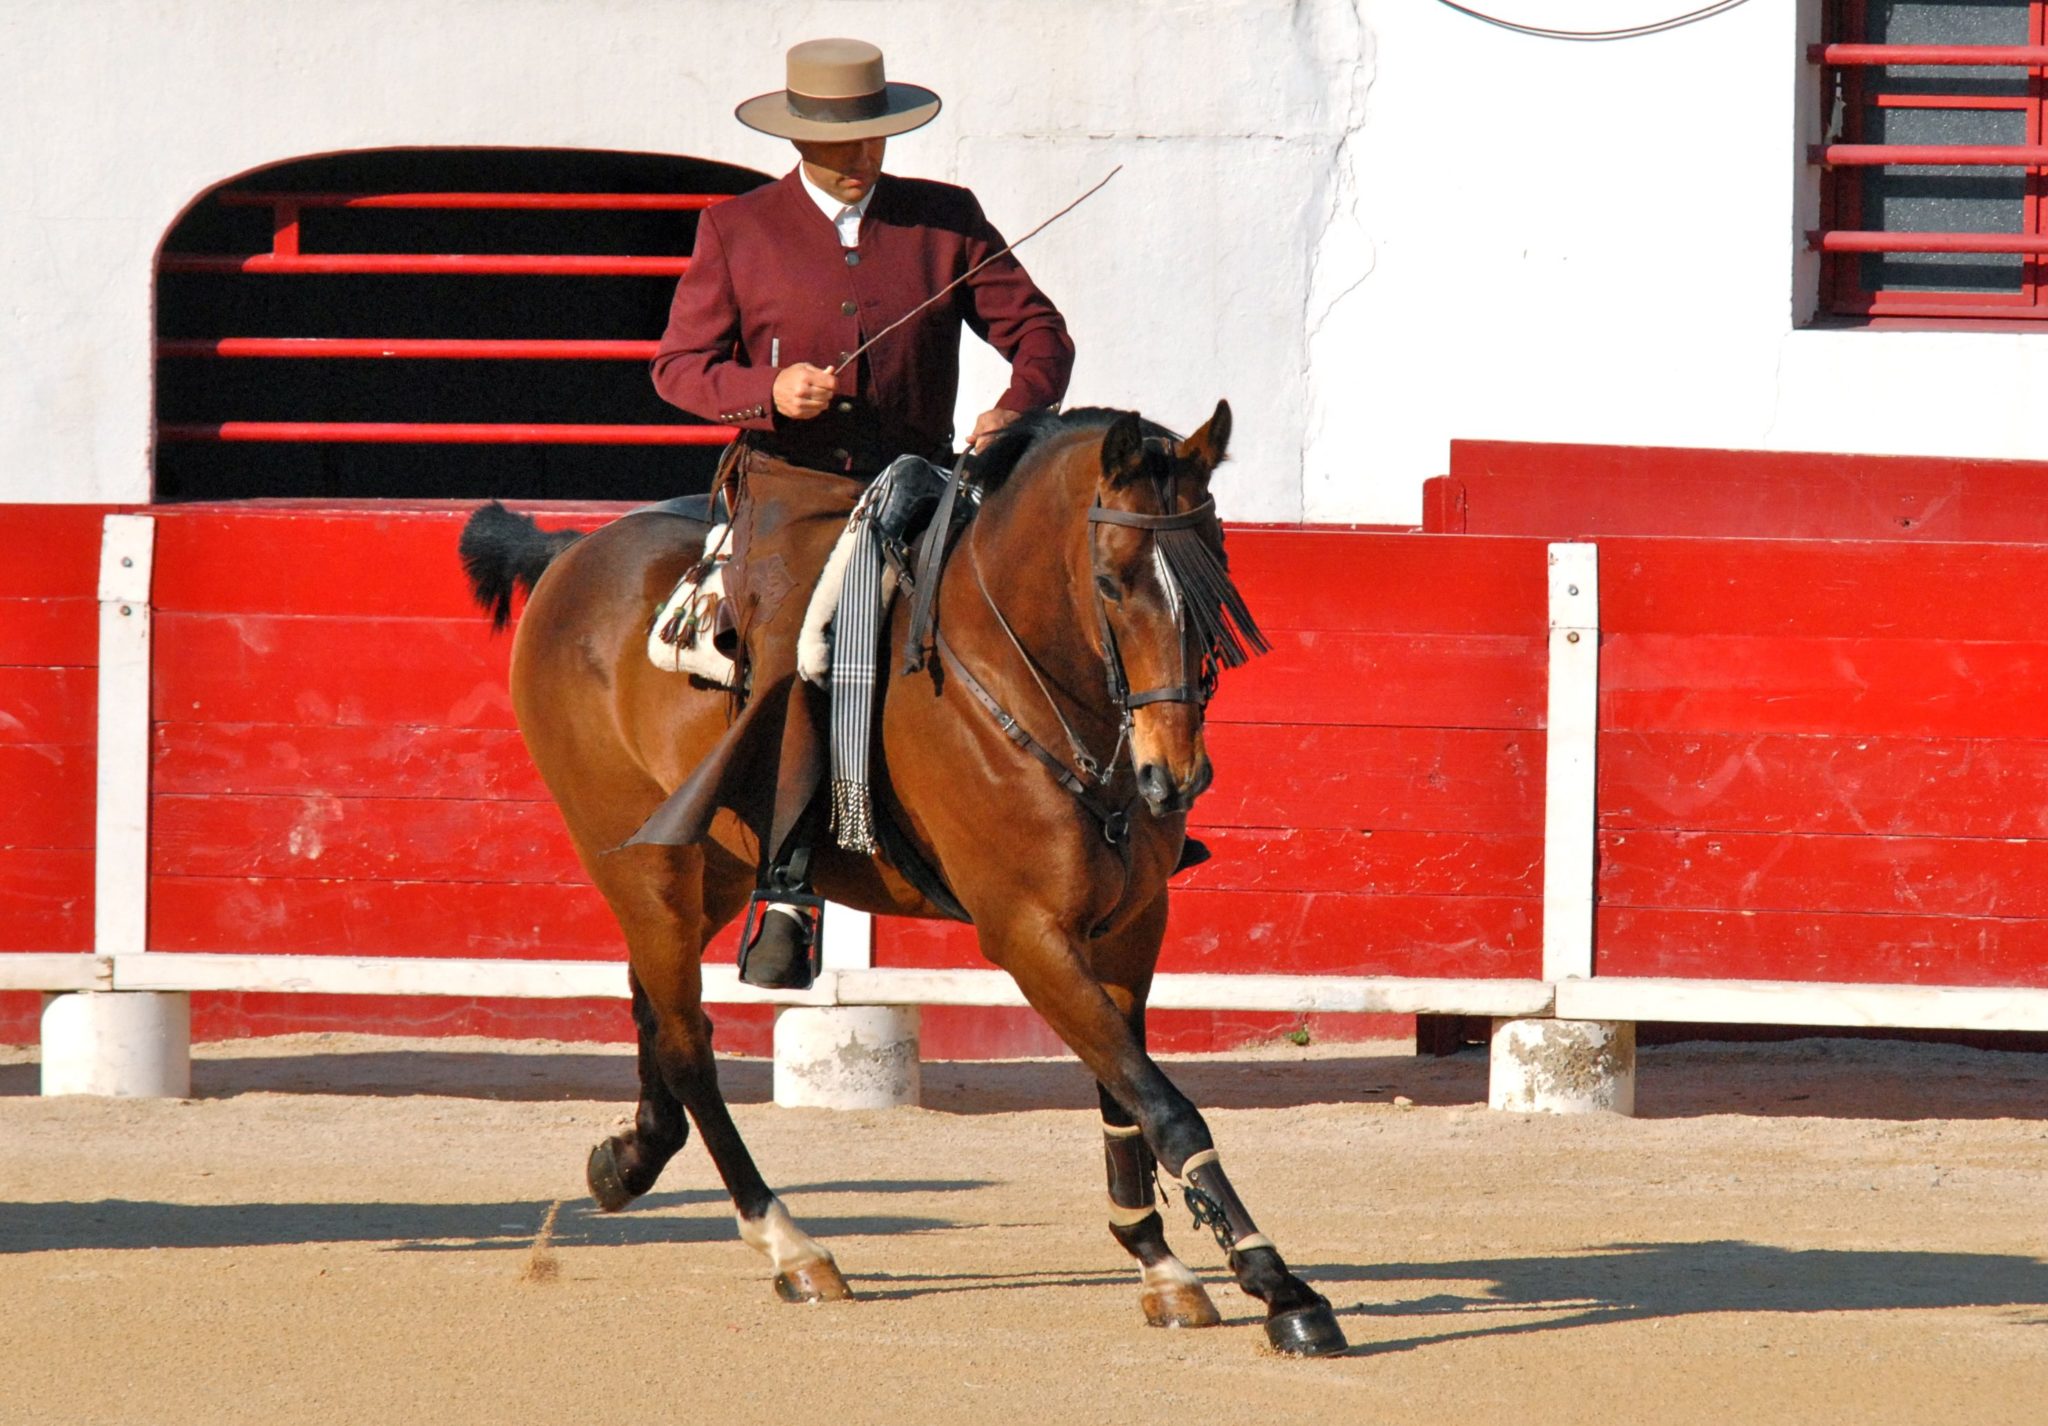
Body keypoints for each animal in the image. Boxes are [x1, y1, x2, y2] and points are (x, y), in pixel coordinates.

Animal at [458, 401, 1351, 1360]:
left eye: (1217, 573)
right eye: (1113, 583)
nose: (1173, 776)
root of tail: (574, 553)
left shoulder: (1129, 927)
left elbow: (1126, 1090)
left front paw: (1159, 1262)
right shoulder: (1027, 934)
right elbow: (1163, 1101)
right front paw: (1278, 1284)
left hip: (713, 864)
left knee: (654, 1007)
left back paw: (627, 1161)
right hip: (637, 860)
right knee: (689, 1042)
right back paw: (789, 1245)